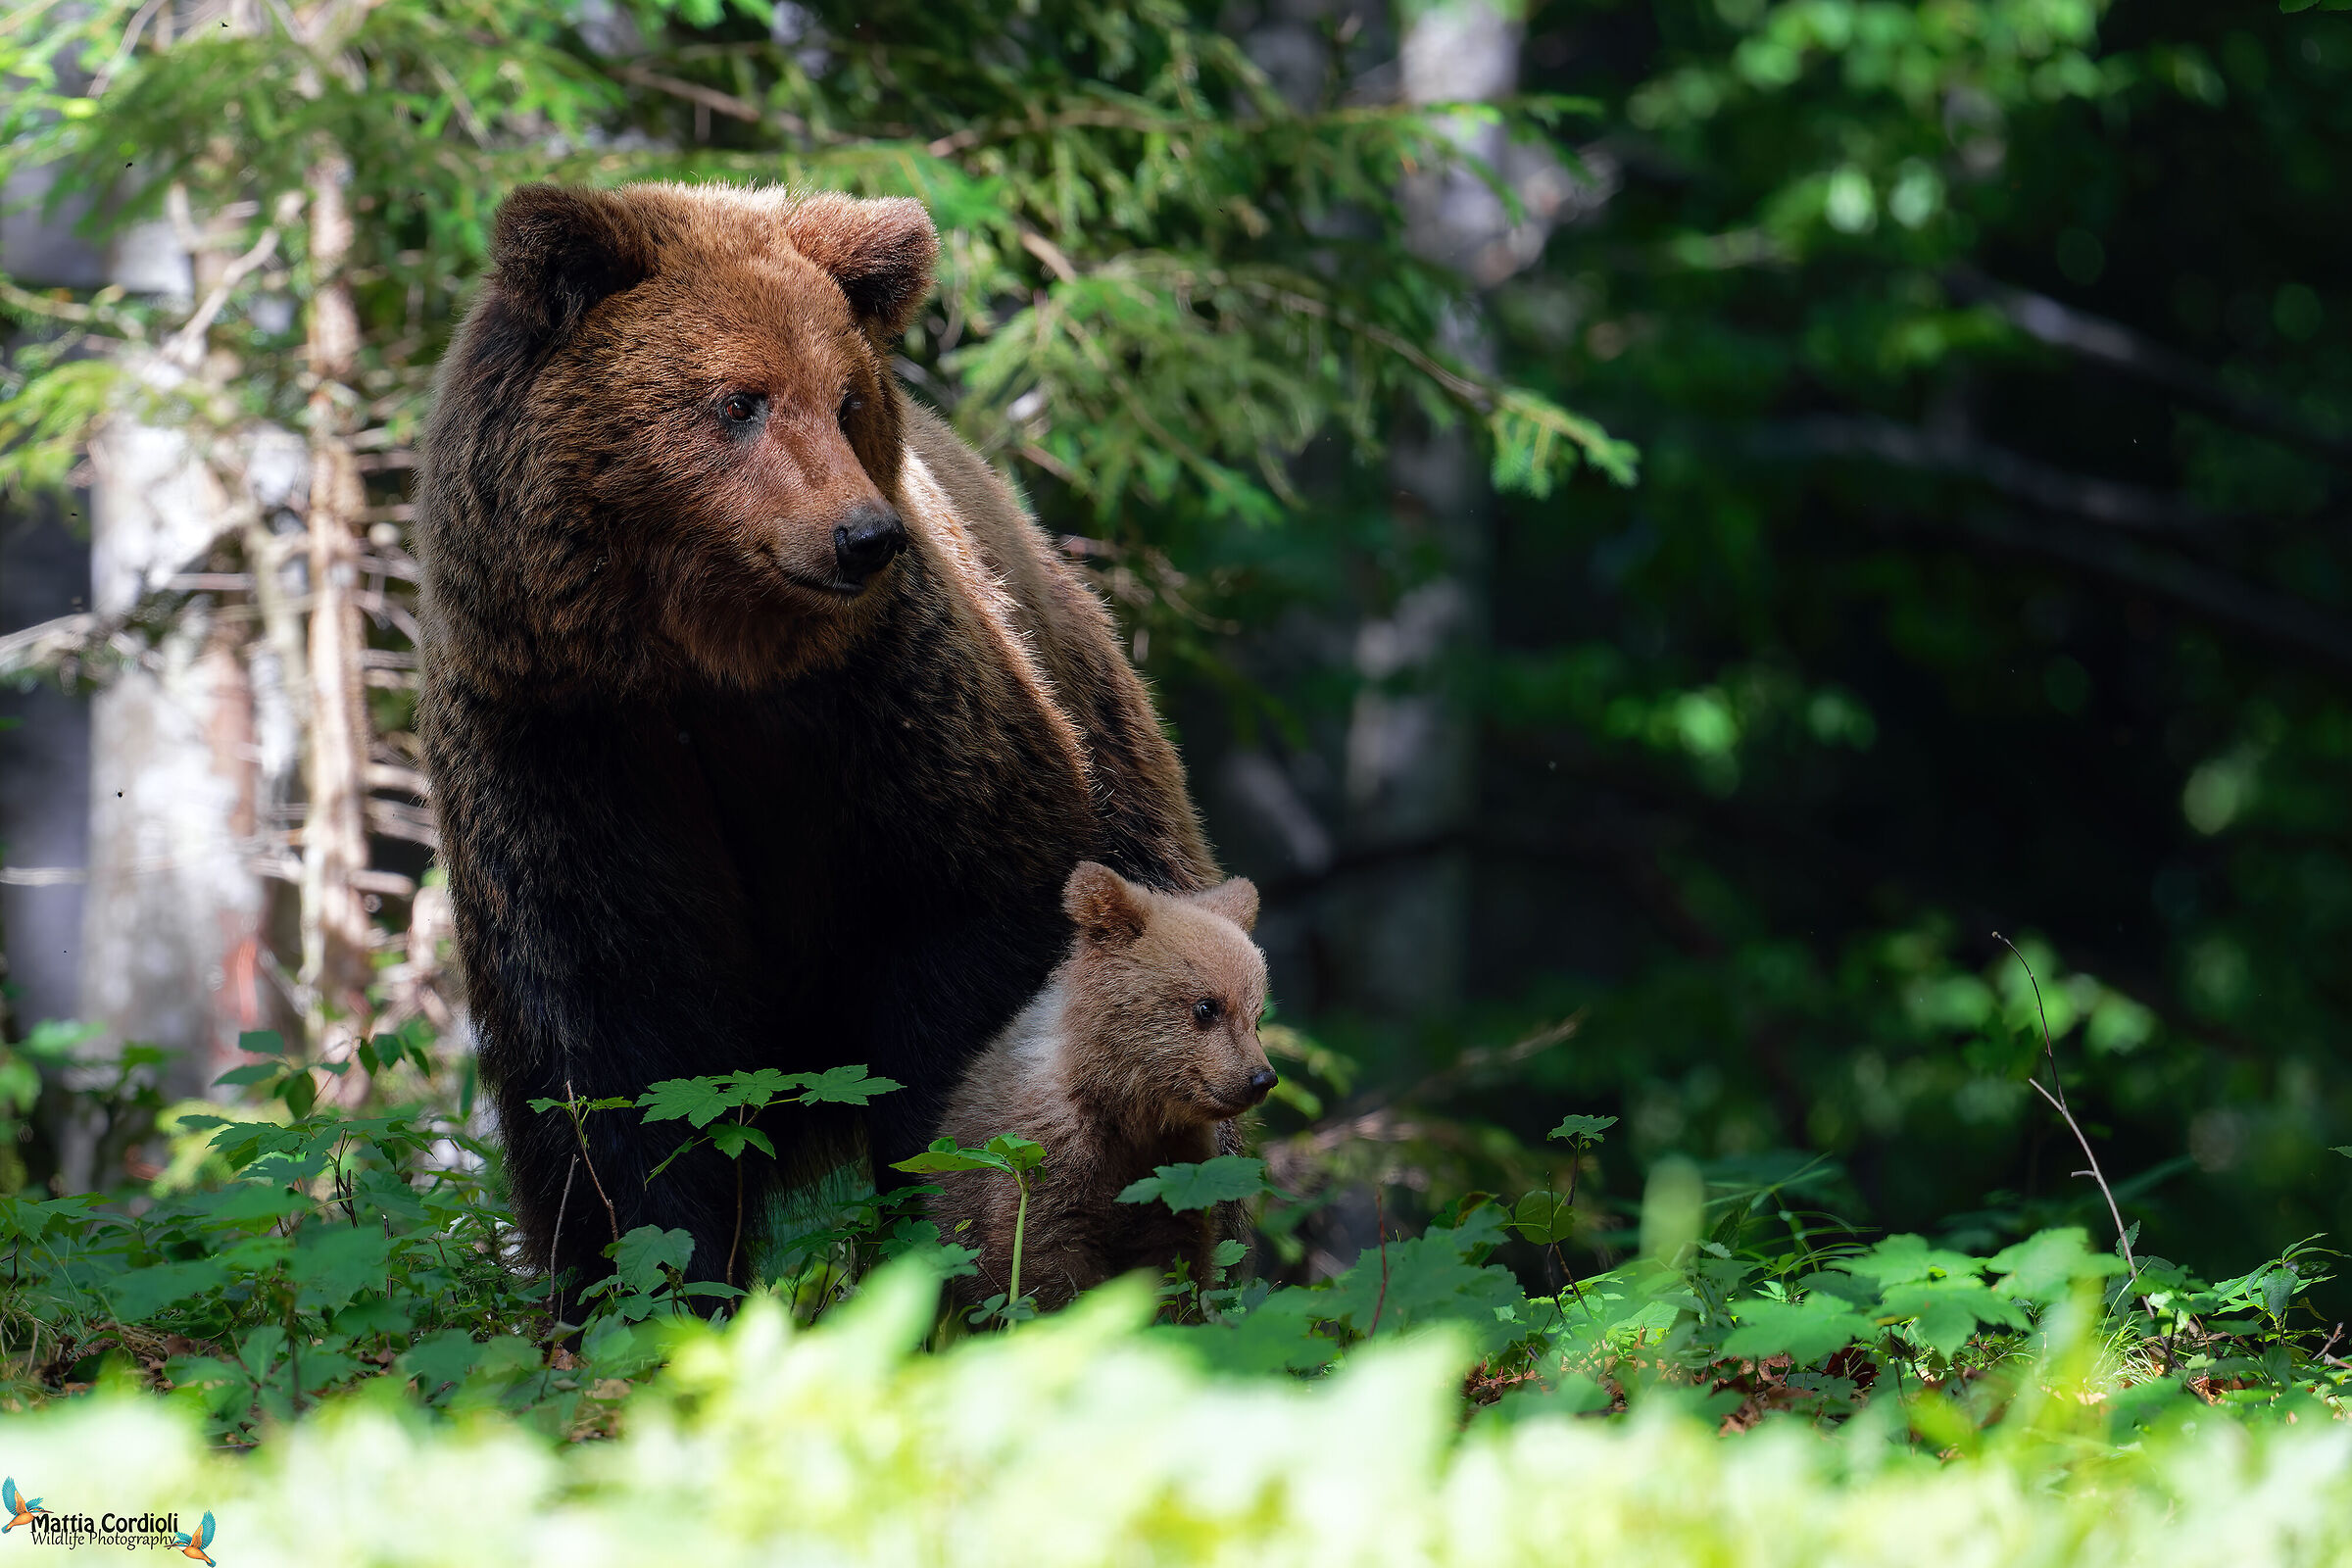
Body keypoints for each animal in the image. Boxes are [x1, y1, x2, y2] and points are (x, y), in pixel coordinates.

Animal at [412, 182, 1218, 1291]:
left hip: (1130, 804)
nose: (863, 536)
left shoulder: (892, 725)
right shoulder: (565, 748)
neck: (702, 666)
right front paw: (649, 1280)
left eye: (847, 399)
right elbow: (614, 1057)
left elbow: (966, 970)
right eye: (738, 400)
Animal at [926, 861, 1275, 1313]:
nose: (1261, 1078)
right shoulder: (1047, 1155)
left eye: (1257, 1015)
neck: (1124, 1108)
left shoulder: (1175, 1168)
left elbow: (1177, 1262)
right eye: (1207, 1006)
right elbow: (1040, 1261)